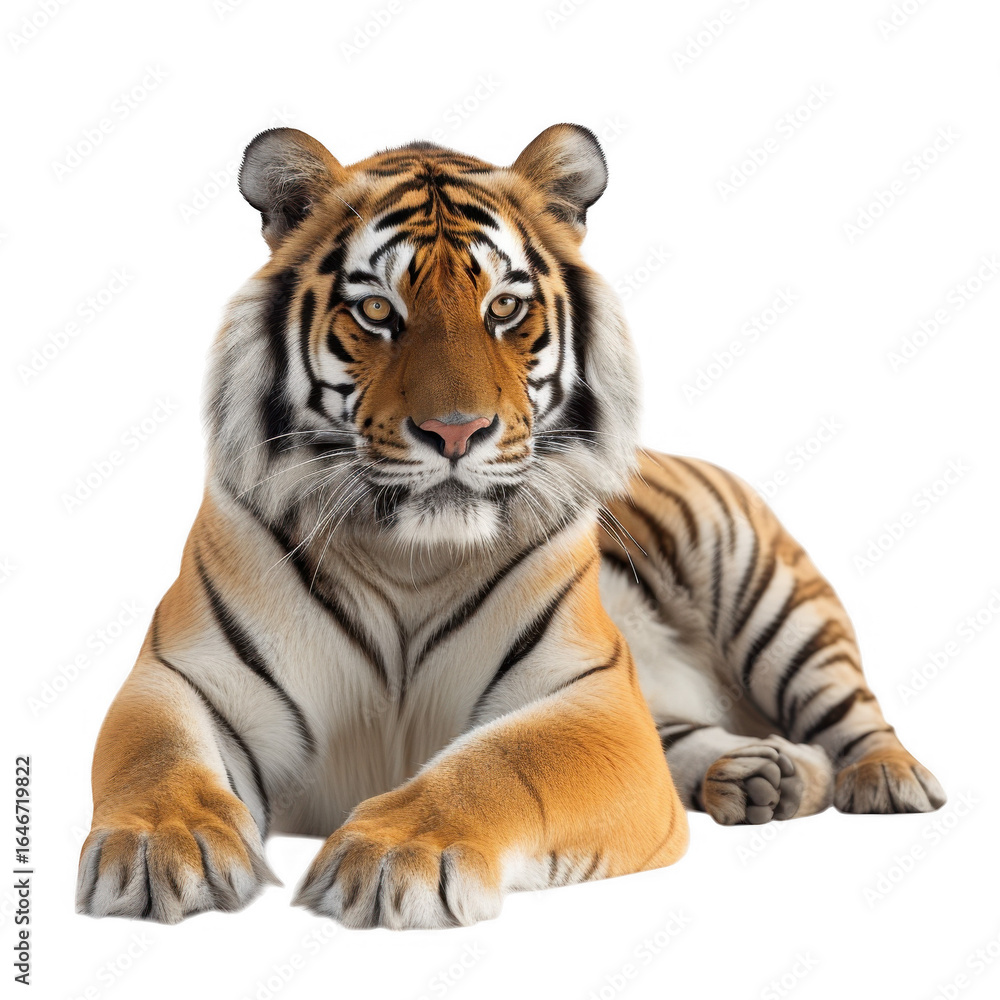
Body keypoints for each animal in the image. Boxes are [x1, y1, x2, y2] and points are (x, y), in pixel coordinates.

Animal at [76, 124, 945, 929]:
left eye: (504, 308)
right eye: (376, 310)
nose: (456, 431)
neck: (410, 555)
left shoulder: (590, 694)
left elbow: (497, 764)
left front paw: (392, 855)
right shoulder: (182, 676)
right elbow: (157, 756)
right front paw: (157, 847)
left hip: (766, 589)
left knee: (851, 706)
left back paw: (885, 779)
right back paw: (762, 776)